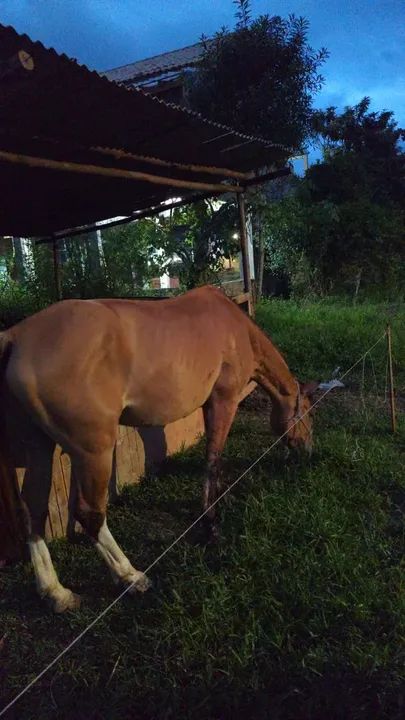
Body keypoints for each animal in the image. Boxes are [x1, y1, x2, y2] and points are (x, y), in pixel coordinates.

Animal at [0, 285, 318, 613]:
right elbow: (212, 459)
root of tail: (16, 336)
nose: (308, 453)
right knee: (90, 513)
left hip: (39, 447)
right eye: (308, 413)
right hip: (93, 451)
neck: (234, 327)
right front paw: (211, 523)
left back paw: (57, 593)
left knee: (34, 511)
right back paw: (131, 577)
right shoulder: (223, 401)